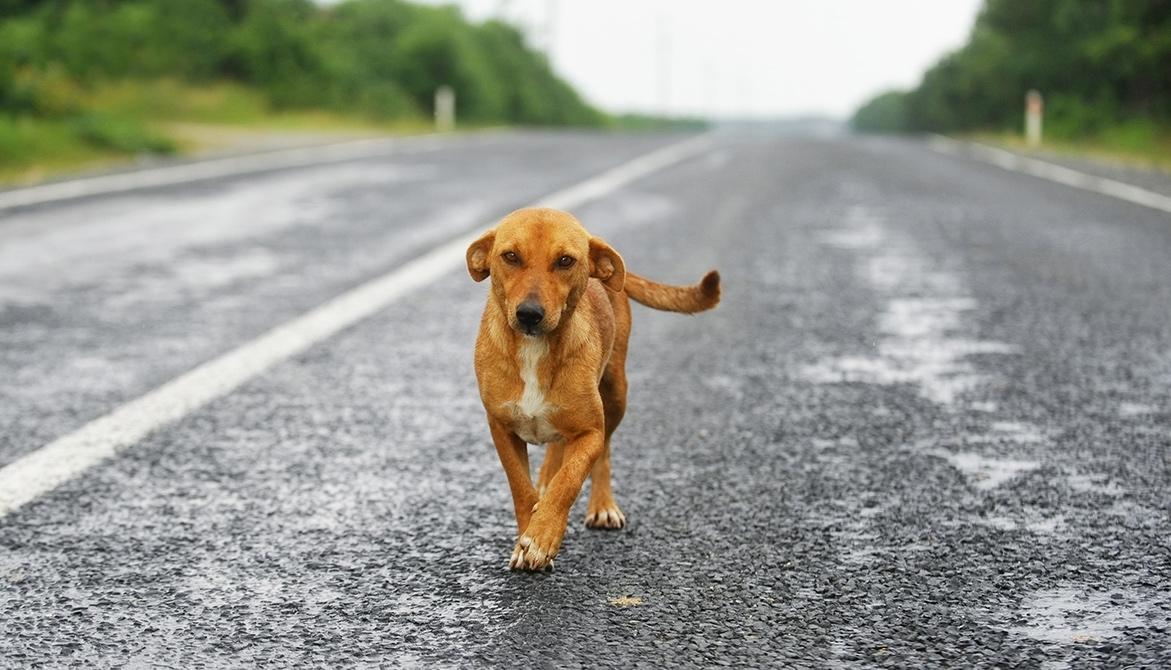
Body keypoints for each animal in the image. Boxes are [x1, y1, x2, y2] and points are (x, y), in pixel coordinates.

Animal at [461, 204, 716, 571]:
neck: (535, 351)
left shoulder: (590, 432)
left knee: (603, 454)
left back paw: (602, 506)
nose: (529, 314)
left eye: (566, 261)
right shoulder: (502, 429)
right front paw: (529, 531)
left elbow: (570, 480)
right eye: (509, 256)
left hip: (616, 395)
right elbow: (521, 487)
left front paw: (542, 537)